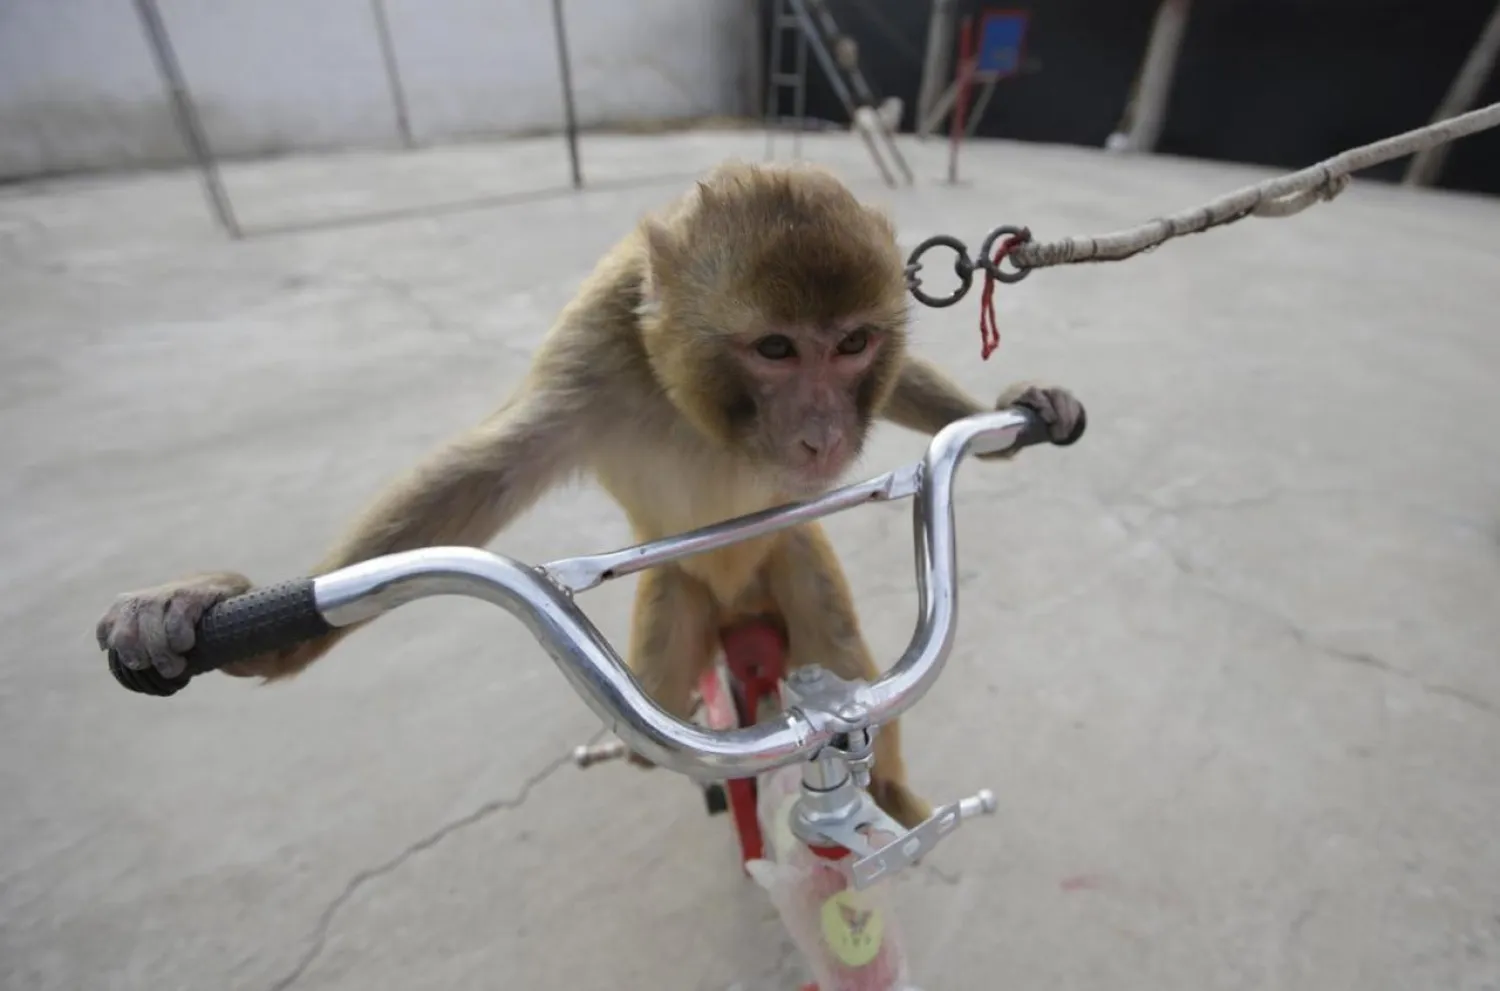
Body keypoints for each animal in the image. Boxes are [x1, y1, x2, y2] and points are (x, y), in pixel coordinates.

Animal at [95, 160, 1083, 829]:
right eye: (775, 348)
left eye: (851, 344)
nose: (825, 436)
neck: (695, 404)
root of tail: (738, 611)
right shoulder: (594, 351)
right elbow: (481, 471)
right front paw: (211, 609)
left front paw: (1016, 414)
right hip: (676, 606)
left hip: (794, 553)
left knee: (841, 650)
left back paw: (894, 791)